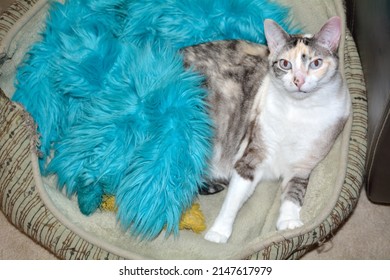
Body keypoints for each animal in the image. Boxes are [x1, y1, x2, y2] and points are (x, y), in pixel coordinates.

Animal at [181, 17, 352, 243]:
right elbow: (234, 198)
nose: (298, 80)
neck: (300, 111)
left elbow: (295, 192)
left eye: (316, 63)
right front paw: (218, 232)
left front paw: (289, 222)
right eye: (285, 63)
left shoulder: (303, 165)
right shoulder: (252, 155)